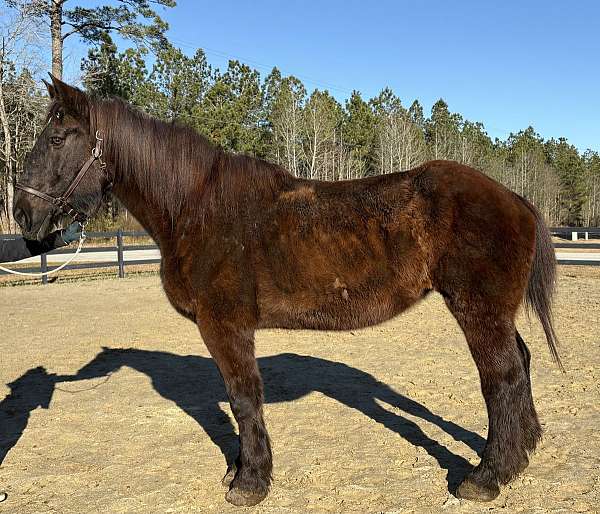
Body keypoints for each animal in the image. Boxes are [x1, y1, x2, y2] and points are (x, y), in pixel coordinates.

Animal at [12, 75, 564, 504]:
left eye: (57, 138)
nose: (22, 213)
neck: (197, 207)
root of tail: (514, 198)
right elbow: (238, 400)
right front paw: (239, 470)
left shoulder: (225, 326)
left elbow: (242, 397)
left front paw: (250, 482)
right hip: (495, 312)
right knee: (521, 363)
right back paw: (524, 450)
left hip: (477, 310)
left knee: (501, 377)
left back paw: (487, 477)